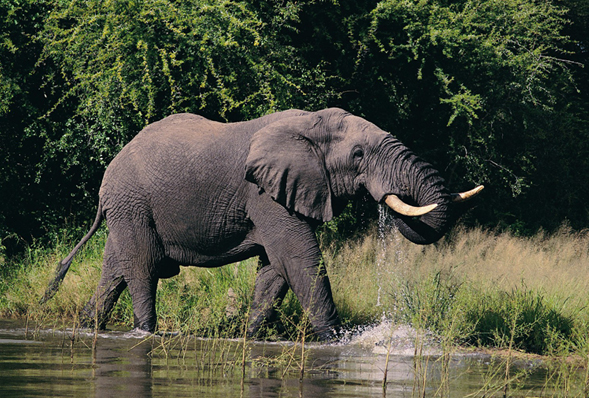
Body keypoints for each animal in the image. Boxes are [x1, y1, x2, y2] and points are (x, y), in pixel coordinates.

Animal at [42, 108, 482, 338]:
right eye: (358, 154)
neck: (311, 124)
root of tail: (107, 175)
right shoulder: (267, 194)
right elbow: (300, 259)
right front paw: (335, 342)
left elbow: (274, 271)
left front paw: (251, 337)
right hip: (132, 204)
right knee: (142, 268)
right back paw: (144, 332)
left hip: (128, 209)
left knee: (114, 270)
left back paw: (88, 327)